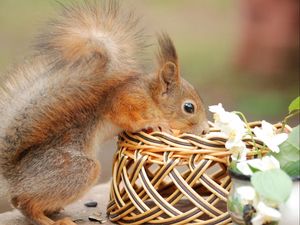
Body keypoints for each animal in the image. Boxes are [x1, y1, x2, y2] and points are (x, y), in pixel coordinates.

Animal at [0, 0, 209, 224]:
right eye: (189, 107)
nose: (205, 129)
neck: (150, 96)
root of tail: (15, 177)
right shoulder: (125, 99)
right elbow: (125, 117)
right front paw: (153, 124)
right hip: (76, 170)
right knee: (26, 204)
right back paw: (49, 219)